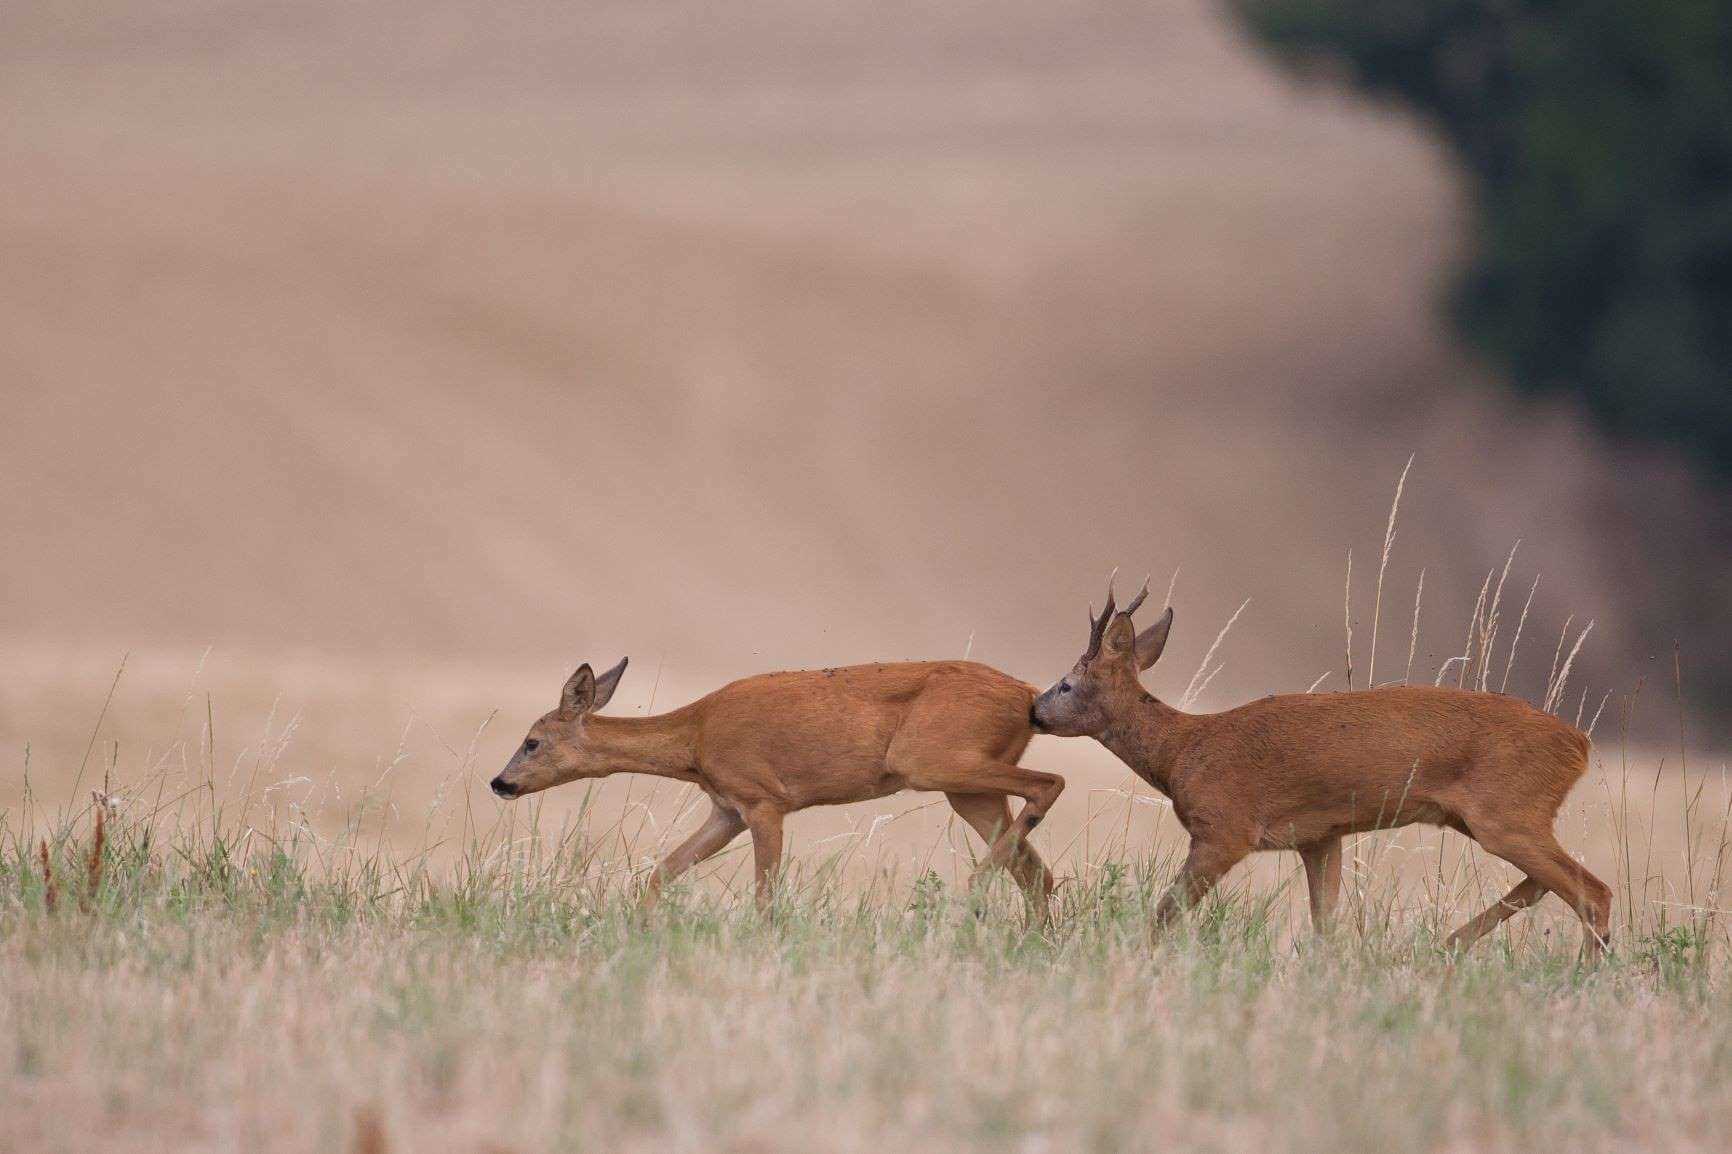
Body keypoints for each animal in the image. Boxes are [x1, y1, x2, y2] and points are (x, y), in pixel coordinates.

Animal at [481, 654, 1059, 907]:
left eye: (532, 741)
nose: (500, 783)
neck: (695, 737)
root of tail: (1028, 695)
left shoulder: (764, 800)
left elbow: (764, 895)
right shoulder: (726, 810)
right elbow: (661, 872)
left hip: (931, 760)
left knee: (1048, 784)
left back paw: (969, 888)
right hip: (966, 789)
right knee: (1038, 874)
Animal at [1025, 578, 1607, 956]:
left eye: (1067, 684)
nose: (1033, 710)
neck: (1182, 750)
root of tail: (1579, 744)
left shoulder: (1224, 829)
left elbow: (1165, 910)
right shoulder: (1321, 836)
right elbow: (1325, 923)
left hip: (1506, 811)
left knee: (1590, 890)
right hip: (1488, 816)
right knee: (1545, 885)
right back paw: (1443, 948)